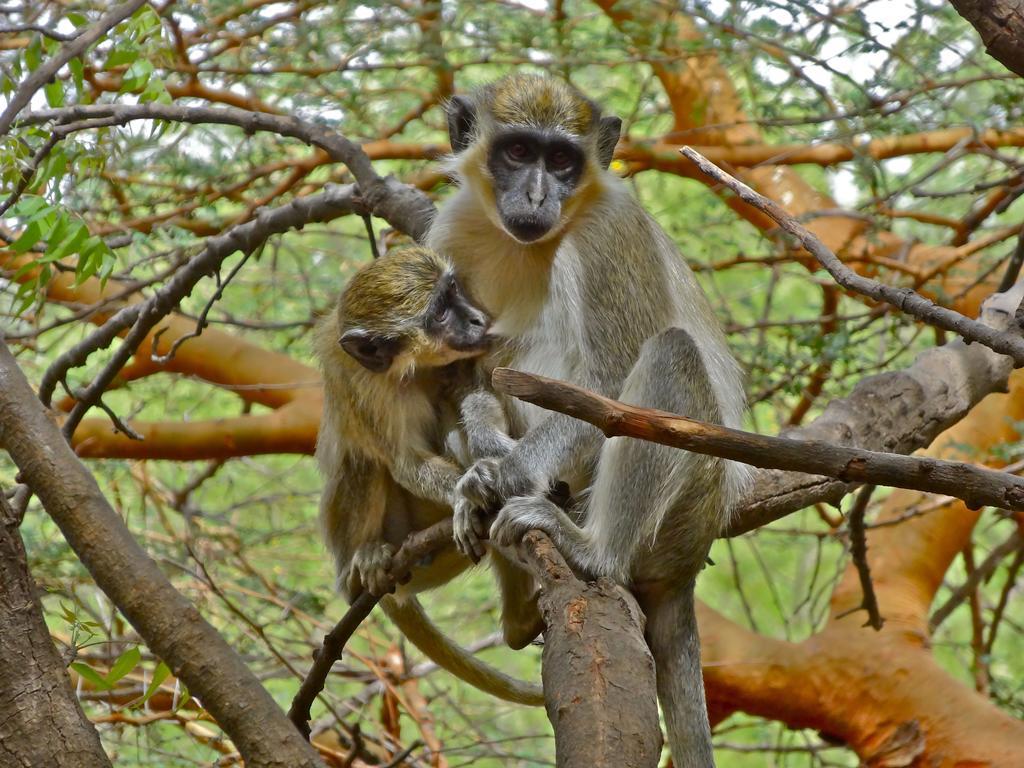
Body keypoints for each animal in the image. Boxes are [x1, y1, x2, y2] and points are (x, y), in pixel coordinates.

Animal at [315, 247, 548, 708]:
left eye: (453, 289)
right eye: (439, 313)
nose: (476, 319)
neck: (412, 367)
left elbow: (475, 393)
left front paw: (487, 457)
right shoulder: (362, 383)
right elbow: (403, 461)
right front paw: (464, 491)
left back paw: (516, 622)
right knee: (364, 463)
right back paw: (359, 570)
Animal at [428, 70, 749, 765]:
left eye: (562, 161)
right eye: (520, 152)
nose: (537, 194)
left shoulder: (607, 231)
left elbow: (609, 381)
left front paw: (504, 474)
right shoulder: (449, 233)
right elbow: (466, 373)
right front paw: (483, 461)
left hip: (688, 506)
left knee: (668, 357)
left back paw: (592, 551)